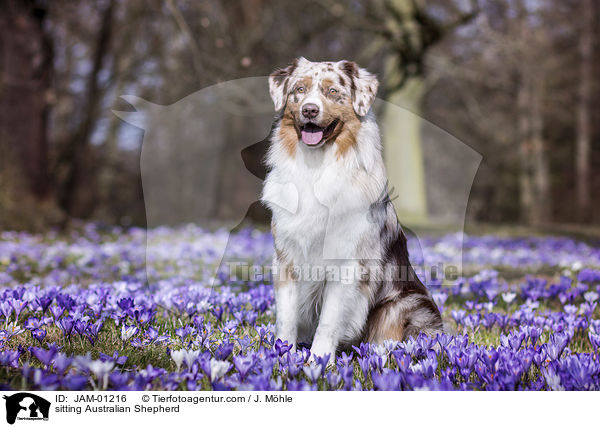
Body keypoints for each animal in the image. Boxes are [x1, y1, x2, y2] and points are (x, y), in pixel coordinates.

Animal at [260, 56, 442, 358]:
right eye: (299, 89)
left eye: (333, 92)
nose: (310, 109)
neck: (316, 167)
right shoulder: (286, 258)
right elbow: (286, 317)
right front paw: (282, 355)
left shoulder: (347, 263)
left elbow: (328, 321)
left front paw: (319, 361)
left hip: (404, 304)